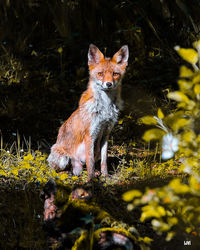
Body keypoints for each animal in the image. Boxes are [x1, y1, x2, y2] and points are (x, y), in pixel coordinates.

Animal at [48, 44, 130, 181]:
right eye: (100, 74)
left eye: (115, 74)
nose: (108, 84)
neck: (105, 109)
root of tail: (76, 163)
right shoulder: (90, 135)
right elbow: (90, 162)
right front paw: (91, 181)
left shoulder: (105, 134)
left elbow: (103, 161)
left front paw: (105, 175)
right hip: (62, 157)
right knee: (58, 169)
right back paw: (66, 174)